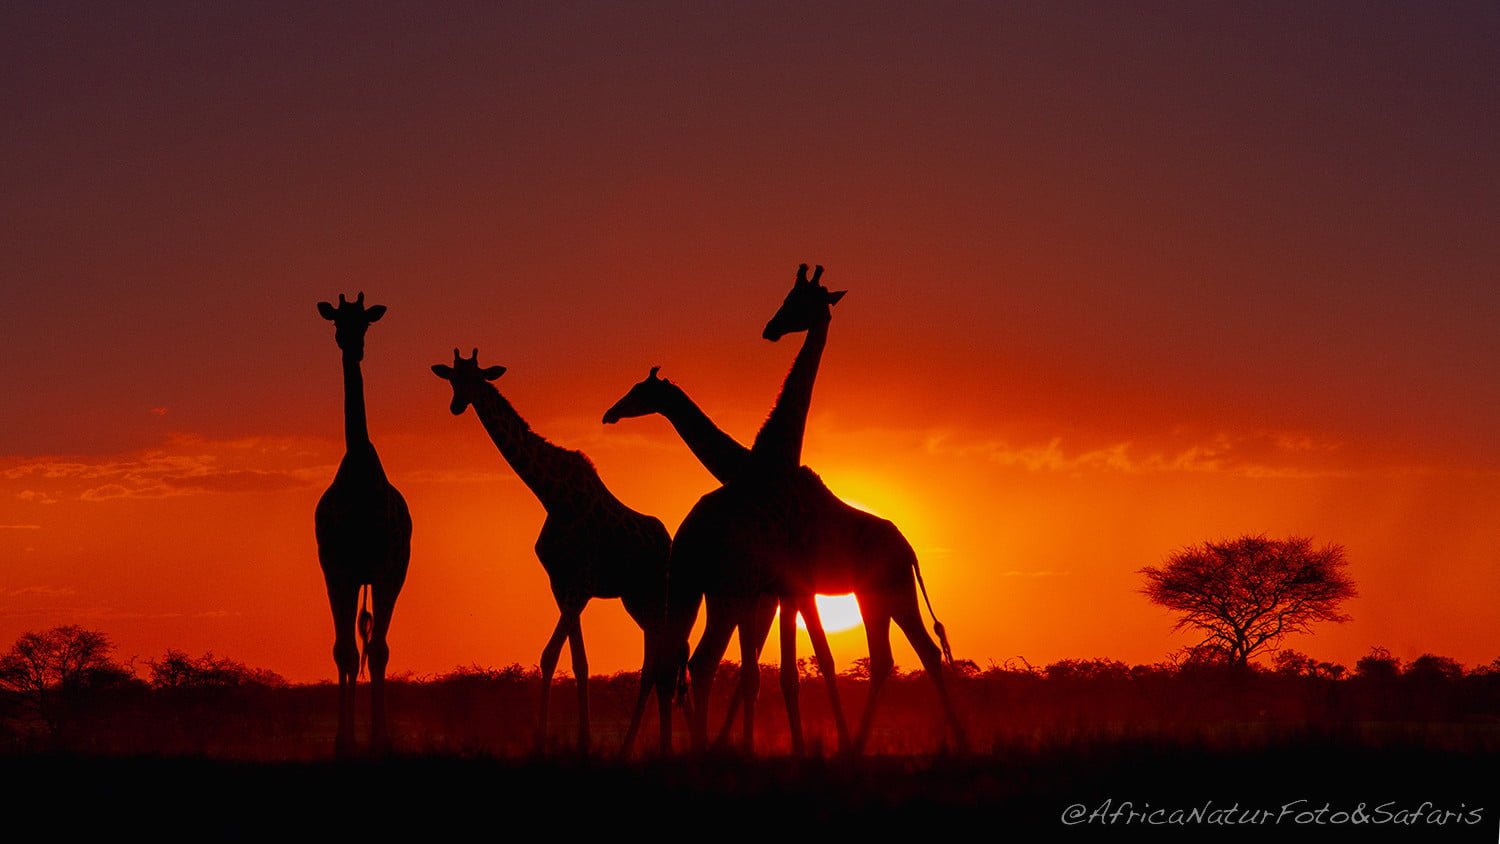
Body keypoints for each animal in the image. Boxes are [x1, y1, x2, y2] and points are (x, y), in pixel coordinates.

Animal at [432, 346, 672, 755]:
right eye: (451, 378)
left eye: (477, 377)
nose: (457, 405)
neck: (552, 496)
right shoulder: (561, 585)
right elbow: (563, 659)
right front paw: (560, 740)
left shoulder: (580, 586)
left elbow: (566, 657)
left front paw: (564, 741)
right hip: (636, 601)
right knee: (656, 663)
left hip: (655, 596)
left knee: (661, 664)